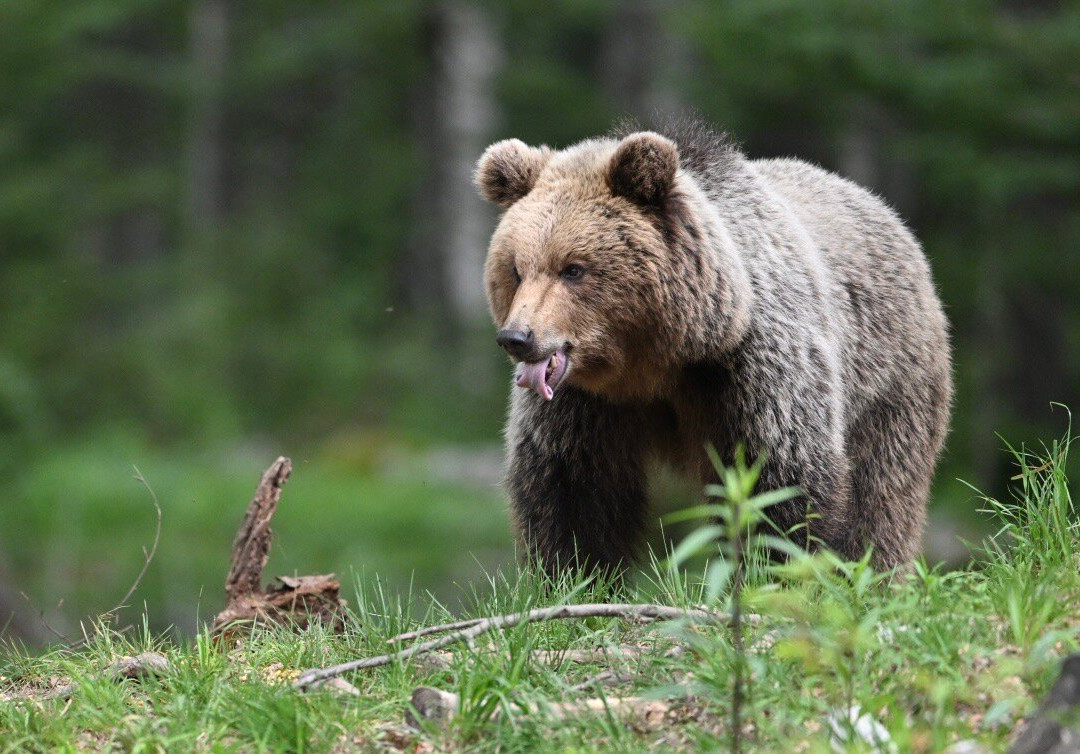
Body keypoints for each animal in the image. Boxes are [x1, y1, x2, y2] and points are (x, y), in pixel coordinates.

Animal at [474, 118, 952, 574]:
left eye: (573, 268)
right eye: (516, 269)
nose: (518, 338)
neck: (658, 361)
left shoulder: (754, 367)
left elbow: (779, 481)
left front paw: (775, 575)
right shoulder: (585, 402)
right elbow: (573, 488)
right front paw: (575, 576)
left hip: (889, 379)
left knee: (883, 492)